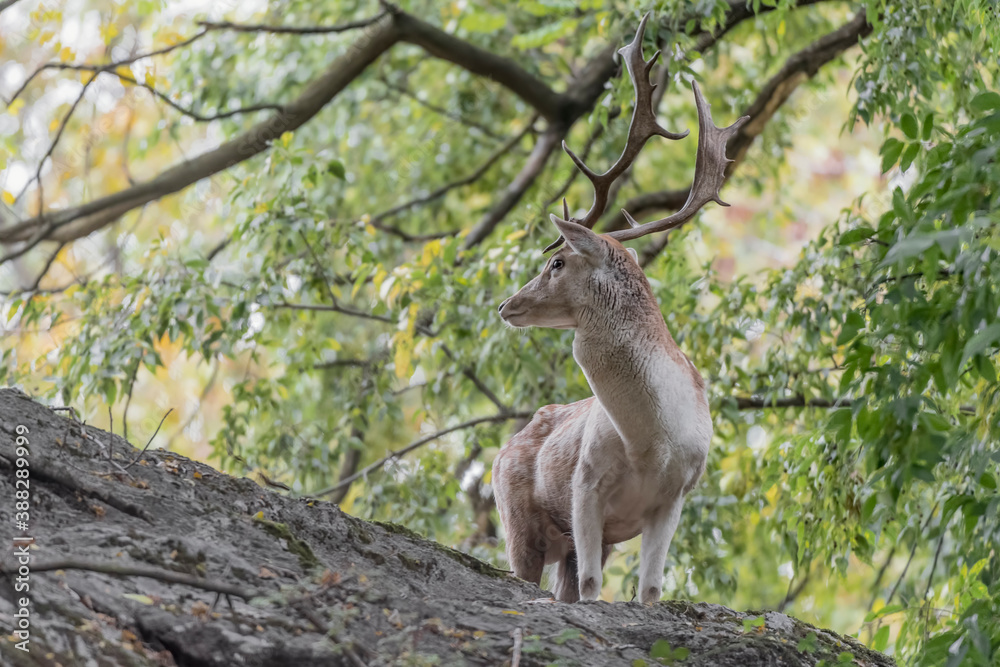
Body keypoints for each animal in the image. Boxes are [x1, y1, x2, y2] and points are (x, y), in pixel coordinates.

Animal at [492, 13, 747, 604]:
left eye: (557, 261)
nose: (506, 305)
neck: (651, 443)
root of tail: (502, 450)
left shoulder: (675, 496)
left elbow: (648, 590)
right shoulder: (585, 485)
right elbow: (591, 587)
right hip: (516, 519)